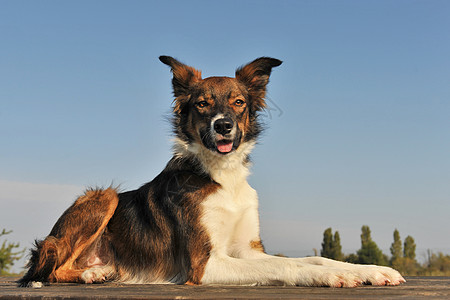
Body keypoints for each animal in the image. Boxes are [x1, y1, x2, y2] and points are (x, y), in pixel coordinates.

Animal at [18, 56, 404, 288]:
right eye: (203, 104)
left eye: (238, 102)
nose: (223, 126)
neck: (223, 177)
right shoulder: (205, 264)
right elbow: (291, 266)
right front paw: (336, 275)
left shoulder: (248, 250)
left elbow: (315, 257)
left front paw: (369, 270)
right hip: (103, 197)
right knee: (51, 269)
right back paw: (92, 273)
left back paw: (98, 269)